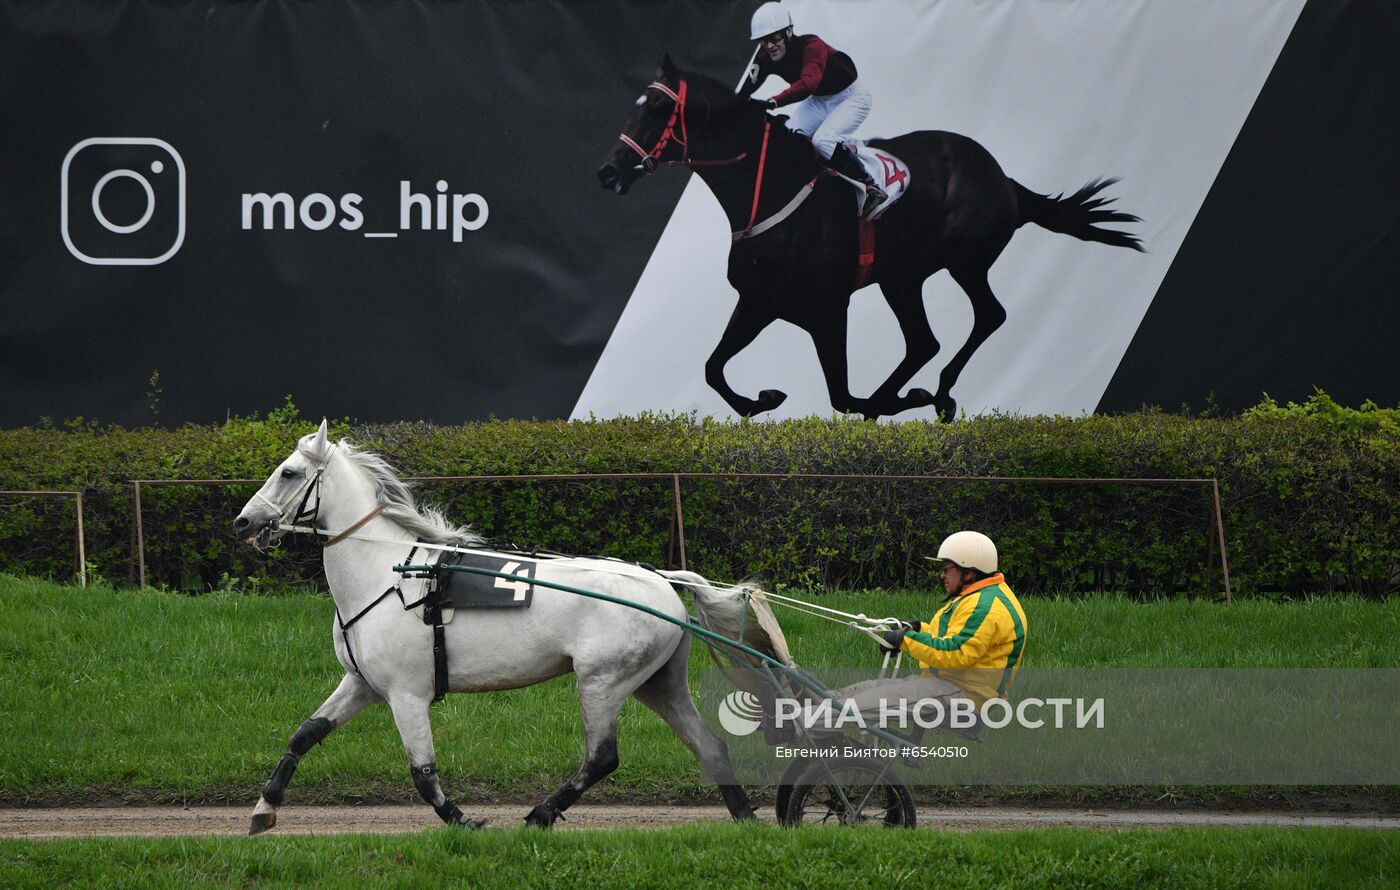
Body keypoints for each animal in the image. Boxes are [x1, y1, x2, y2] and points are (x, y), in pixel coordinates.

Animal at [232, 419, 756, 828]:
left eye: (289, 472)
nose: (243, 522)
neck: (391, 575)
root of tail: (662, 580)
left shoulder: (407, 693)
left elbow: (423, 773)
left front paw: (465, 821)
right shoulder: (361, 684)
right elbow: (304, 734)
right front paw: (263, 809)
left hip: (603, 680)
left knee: (602, 757)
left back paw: (541, 814)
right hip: (657, 682)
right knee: (710, 747)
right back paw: (747, 818)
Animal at [596, 57, 1142, 422]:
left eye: (658, 106)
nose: (608, 171)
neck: (772, 189)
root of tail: (1004, 180)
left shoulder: (827, 306)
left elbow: (839, 394)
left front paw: (882, 400)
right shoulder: (759, 299)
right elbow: (713, 368)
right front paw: (762, 399)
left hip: (960, 262)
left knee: (986, 317)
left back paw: (931, 395)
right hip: (903, 277)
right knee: (926, 340)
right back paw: (917, 395)